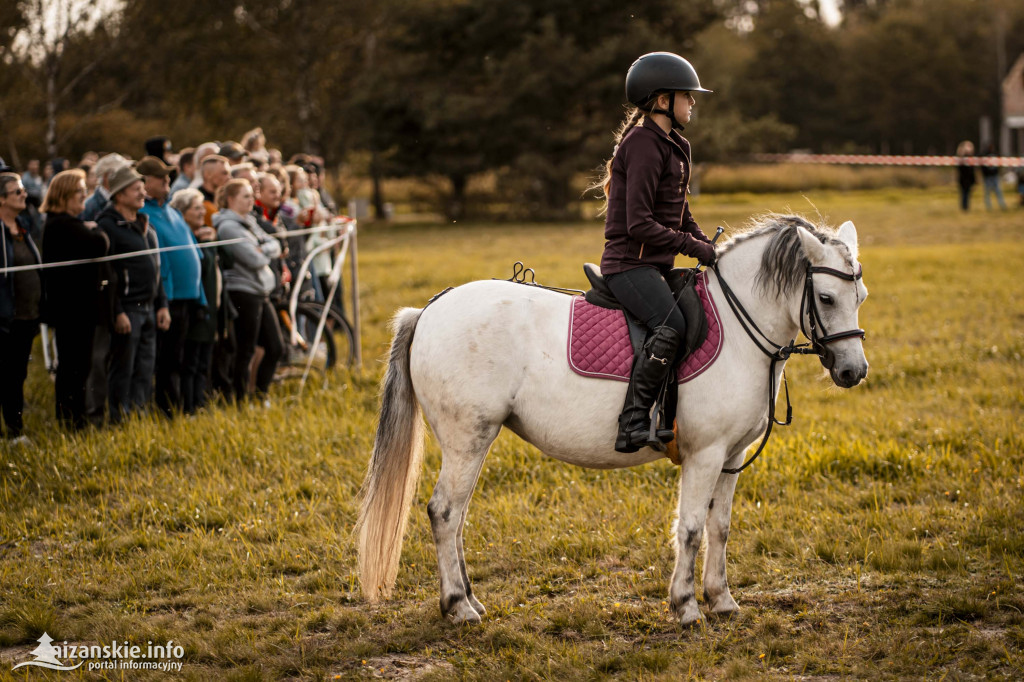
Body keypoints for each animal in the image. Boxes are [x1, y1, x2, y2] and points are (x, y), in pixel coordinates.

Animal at [356, 215, 868, 622]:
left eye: (860, 295)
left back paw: (469, 598)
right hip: (468, 437)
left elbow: (719, 528)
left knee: (458, 516)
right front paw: (686, 606)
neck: (740, 330)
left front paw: (721, 600)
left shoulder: (731, 456)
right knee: (445, 512)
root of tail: (429, 309)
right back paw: (458, 607)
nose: (853, 371)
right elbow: (690, 527)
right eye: (825, 298)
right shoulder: (704, 455)